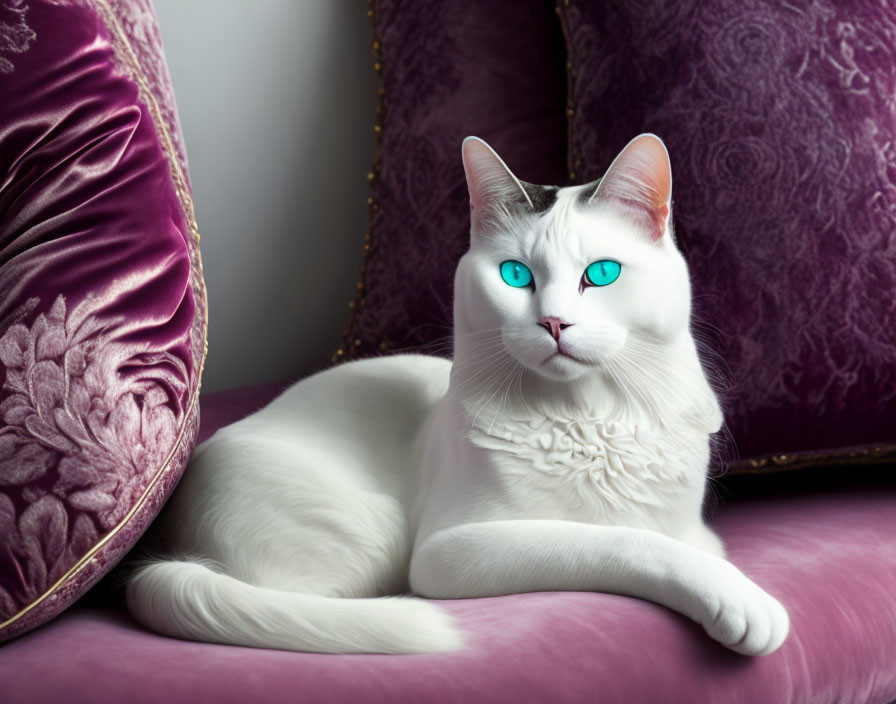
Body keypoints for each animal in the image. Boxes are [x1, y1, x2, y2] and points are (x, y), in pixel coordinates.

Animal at [128, 136, 792, 656]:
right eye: (516, 276)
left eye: (601, 274)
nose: (554, 323)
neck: (593, 421)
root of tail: (165, 547)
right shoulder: (458, 548)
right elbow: (628, 542)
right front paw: (741, 600)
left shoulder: (696, 528)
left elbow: (690, 543)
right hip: (372, 532)